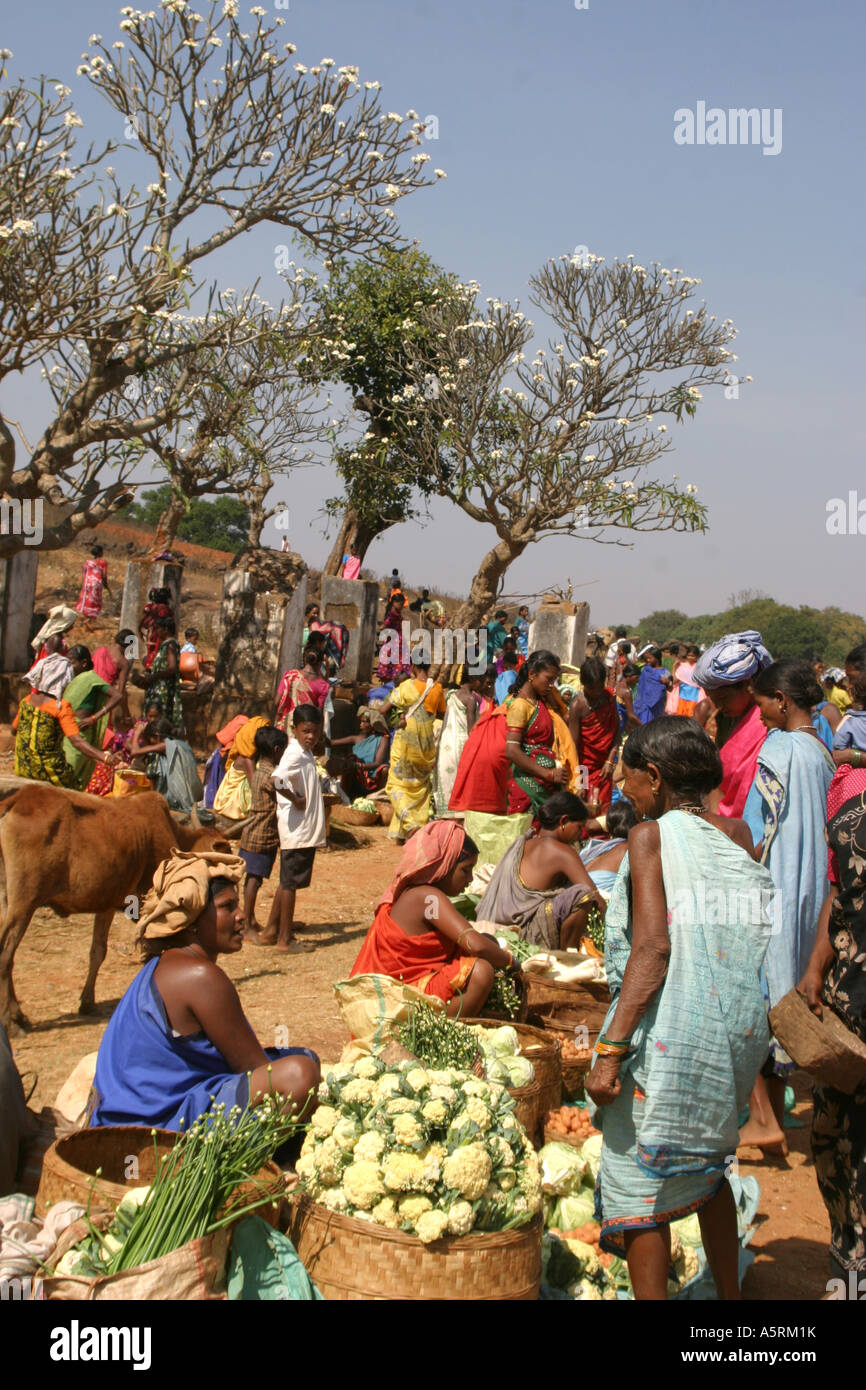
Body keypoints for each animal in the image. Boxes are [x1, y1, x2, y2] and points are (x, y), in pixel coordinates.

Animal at [0, 783, 232, 1034]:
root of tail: (17, 799)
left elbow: (97, 951)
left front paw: (87, 1002)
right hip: (24, 902)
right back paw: (11, 1022)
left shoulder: (108, 903)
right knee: (6, 953)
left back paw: (18, 1015)